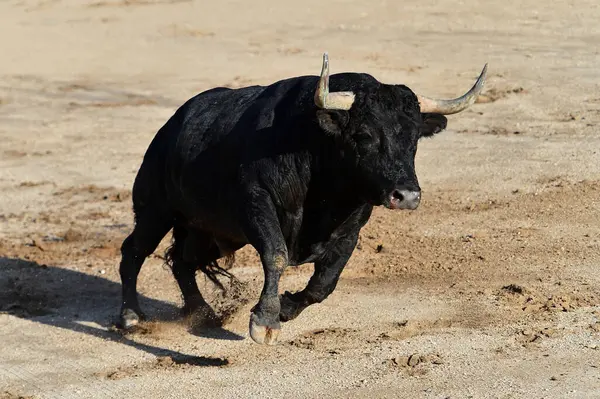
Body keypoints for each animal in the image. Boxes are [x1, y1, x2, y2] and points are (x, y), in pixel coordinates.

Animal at [115, 54, 486, 346]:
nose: (406, 195)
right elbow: (276, 254)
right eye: (364, 135)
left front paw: (287, 307)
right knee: (134, 250)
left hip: (212, 231)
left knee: (184, 261)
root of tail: (170, 127)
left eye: (414, 139)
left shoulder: (351, 226)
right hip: (156, 210)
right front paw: (265, 321)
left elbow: (326, 280)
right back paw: (131, 315)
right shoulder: (257, 202)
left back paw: (204, 314)